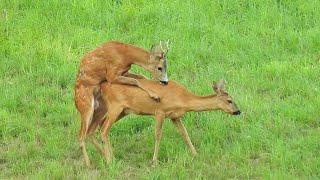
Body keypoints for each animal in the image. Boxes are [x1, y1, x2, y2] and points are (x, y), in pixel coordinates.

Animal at [85, 79, 240, 165]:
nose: (238, 111)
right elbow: (158, 135)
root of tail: (102, 86)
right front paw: (154, 161)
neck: (184, 99)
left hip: (123, 111)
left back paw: (110, 156)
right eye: (229, 100)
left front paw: (195, 154)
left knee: (100, 127)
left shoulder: (174, 116)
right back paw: (110, 160)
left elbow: (185, 134)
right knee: (103, 129)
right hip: (115, 106)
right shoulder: (160, 111)